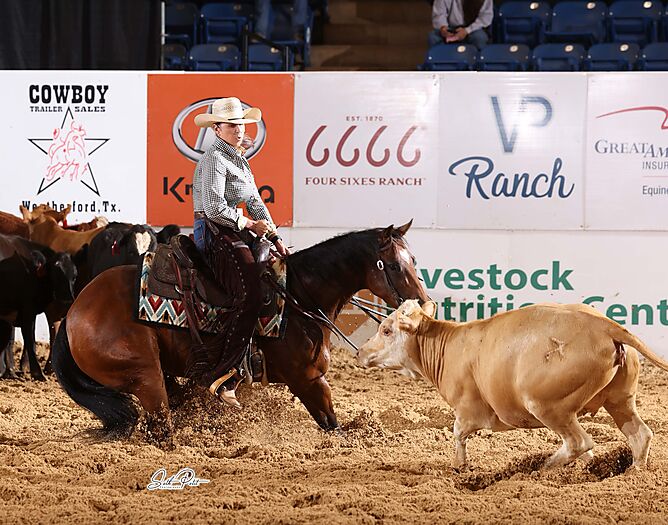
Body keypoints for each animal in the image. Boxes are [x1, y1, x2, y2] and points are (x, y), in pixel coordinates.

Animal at [0, 234, 77, 380]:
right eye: (55, 272)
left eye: (75, 276)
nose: (67, 300)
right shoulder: (27, 308)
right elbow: (29, 339)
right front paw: (37, 373)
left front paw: (10, 371)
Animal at [52, 222, 430, 441]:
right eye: (393, 265)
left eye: (414, 260)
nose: (424, 306)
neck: (299, 297)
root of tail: (74, 313)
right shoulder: (308, 379)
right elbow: (332, 426)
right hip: (146, 377)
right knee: (161, 428)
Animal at [357, 300, 668, 470]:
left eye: (386, 330)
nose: (360, 351)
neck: (450, 345)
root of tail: (603, 325)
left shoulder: (467, 409)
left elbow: (458, 434)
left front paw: (459, 466)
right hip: (620, 400)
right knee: (639, 435)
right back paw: (633, 472)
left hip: (547, 405)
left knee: (579, 442)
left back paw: (543, 467)